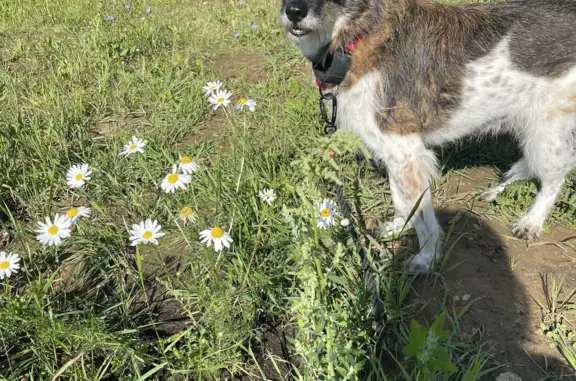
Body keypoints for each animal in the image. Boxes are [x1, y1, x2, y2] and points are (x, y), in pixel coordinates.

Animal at [282, 0, 576, 274]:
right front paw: (399, 228)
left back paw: (532, 221)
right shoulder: (397, 153)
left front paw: (427, 257)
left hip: (545, 134)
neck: (360, 35)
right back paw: (496, 191)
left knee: (555, 179)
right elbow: (402, 200)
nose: (294, 12)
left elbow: (422, 216)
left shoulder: (407, 151)